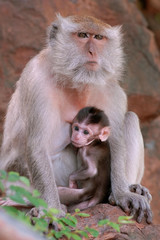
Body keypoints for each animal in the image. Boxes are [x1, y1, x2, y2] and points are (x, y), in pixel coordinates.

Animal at [0, 14, 152, 222]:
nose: (92, 51)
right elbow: (38, 145)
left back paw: (125, 190)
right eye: (82, 35)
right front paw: (51, 210)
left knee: (129, 119)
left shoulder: (110, 88)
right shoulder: (36, 79)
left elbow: (116, 141)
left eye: (98, 37)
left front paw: (123, 194)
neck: (78, 82)